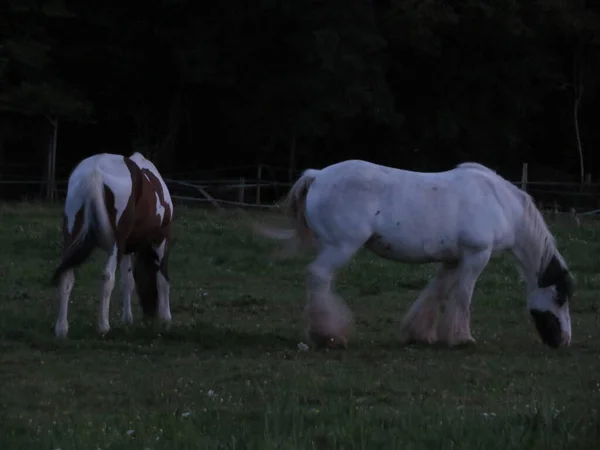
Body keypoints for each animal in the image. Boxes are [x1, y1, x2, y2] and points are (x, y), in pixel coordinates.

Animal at [51, 151, 173, 338]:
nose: (149, 318)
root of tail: (94, 172)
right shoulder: (160, 238)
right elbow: (162, 279)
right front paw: (166, 318)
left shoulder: (128, 248)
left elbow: (128, 282)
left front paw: (127, 319)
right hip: (117, 243)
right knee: (107, 277)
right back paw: (103, 326)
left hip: (71, 236)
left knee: (66, 275)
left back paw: (62, 328)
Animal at [255, 160, 576, 350]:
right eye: (560, 297)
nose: (564, 341)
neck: (501, 203)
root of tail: (318, 175)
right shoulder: (476, 256)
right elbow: (463, 296)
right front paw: (462, 337)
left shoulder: (452, 260)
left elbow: (435, 293)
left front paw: (420, 333)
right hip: (341, 247)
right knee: (318, 277)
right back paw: (329, 335)